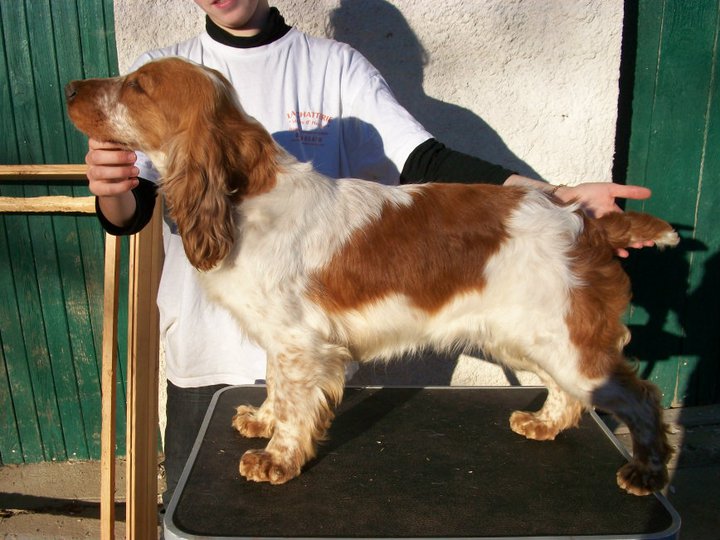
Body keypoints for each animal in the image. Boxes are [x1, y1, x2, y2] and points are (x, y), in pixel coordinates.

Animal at [66, 57, 678, 495]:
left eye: (138, 86)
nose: (71, 87)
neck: (245, 196)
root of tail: (582, 220)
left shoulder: (302, 342)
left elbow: (297, 404)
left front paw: (276, 459)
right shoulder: (285, 340)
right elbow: (278, 387)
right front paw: (262, 421)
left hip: (563, 337)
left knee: (641, 397)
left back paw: (647, 472)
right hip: (535, 336)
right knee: (571, 393)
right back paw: (545, 425)